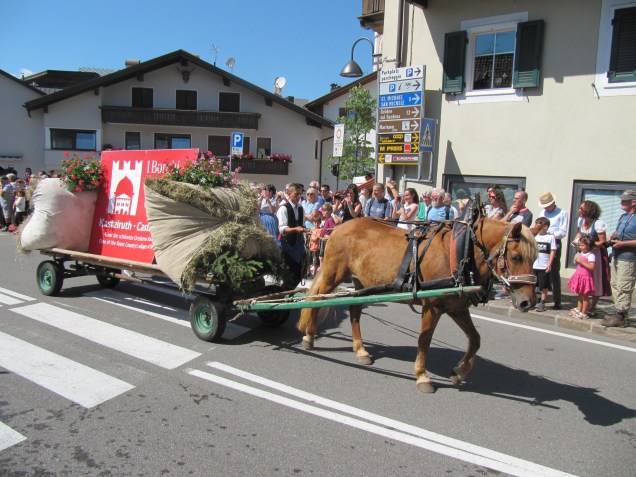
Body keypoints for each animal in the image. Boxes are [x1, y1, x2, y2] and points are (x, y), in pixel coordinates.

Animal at [296, 207, 538, 393]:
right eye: (516, 257)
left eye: (535, 257)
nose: (528, 302)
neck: (460, 252)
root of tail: (339, 227)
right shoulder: (432, 307)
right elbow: (424, 340)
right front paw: (422, 376)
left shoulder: (457, 308)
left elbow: (475, 339)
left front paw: (459, 372)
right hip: (333, 274)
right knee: (318, 298)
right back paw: (309, 337)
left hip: (361, 284)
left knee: (354, 312)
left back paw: (361, 350)